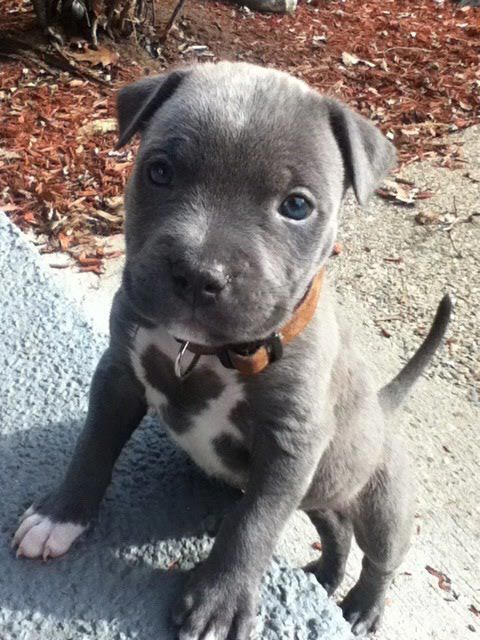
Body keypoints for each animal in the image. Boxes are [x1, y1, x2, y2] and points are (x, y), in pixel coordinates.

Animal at [13, 61, 452, 640]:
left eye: (296, 206)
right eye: (159, 171)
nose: (199, 273)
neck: (204, 351)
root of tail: (383, 403)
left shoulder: (290, 444)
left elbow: (255, 522)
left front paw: (220, 600)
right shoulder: (118, 374)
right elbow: (94, 446)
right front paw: (60, 516)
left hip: (384, 498)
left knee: (380, 555)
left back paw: (363, 605)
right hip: (323, 490)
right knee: (335, 526)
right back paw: (326, 574)